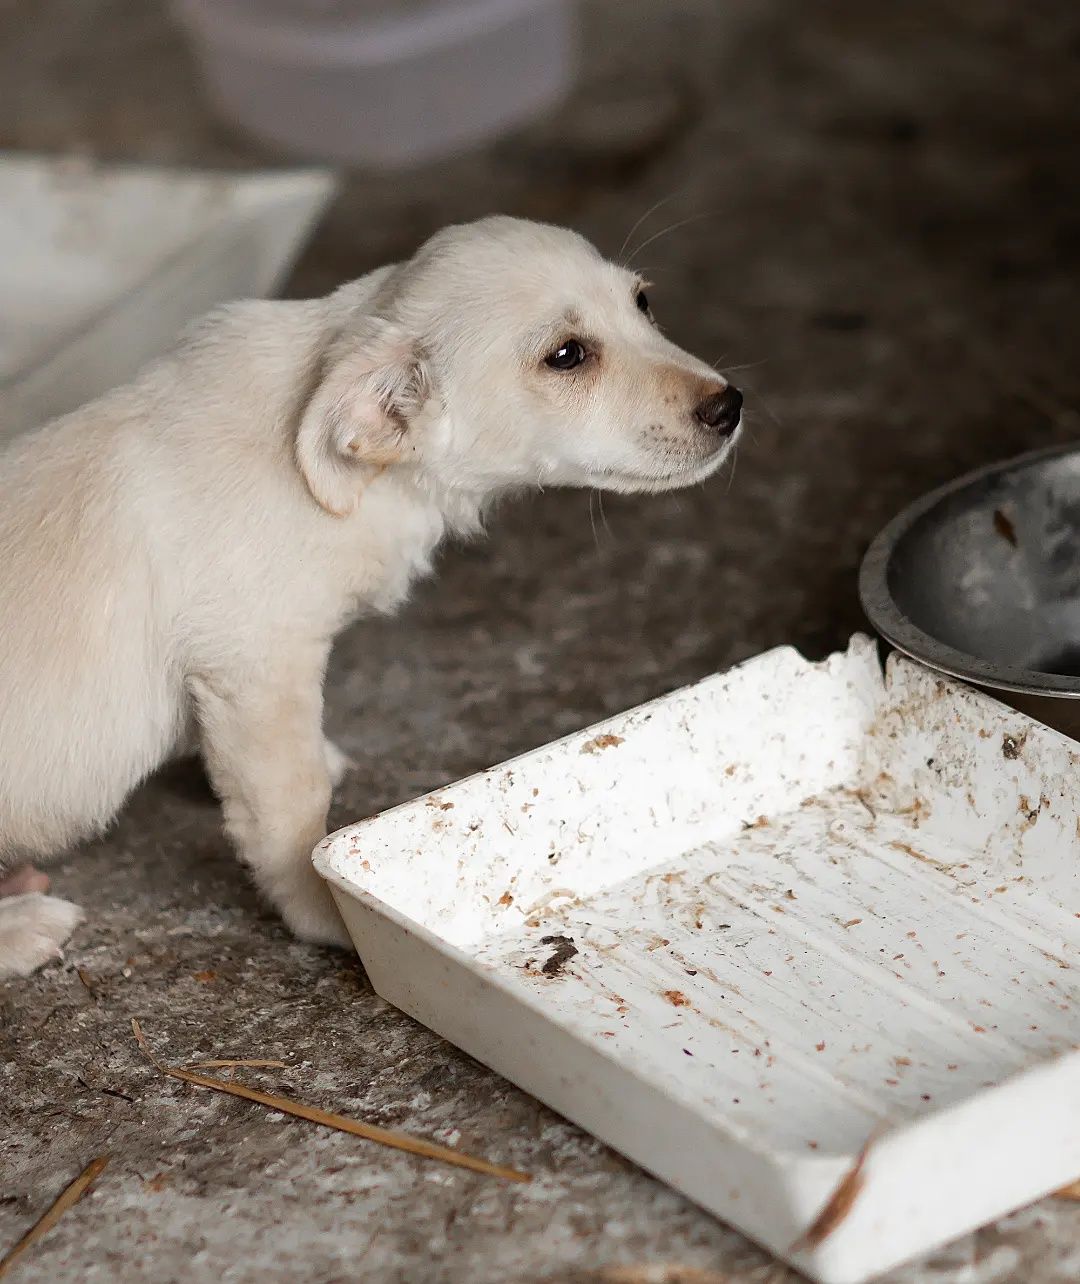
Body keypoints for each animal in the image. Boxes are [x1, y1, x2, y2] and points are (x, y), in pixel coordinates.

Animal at [0, 215, 739, 975]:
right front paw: (328, 911)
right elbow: (290, 814)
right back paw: (20, 926)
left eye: (642, 302)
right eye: (567, 356)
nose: (730, 405)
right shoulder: (259, 672)